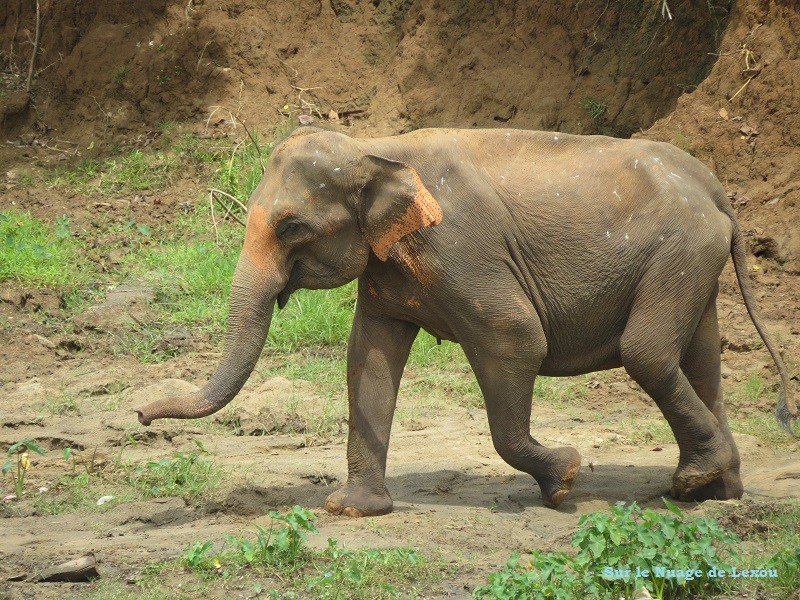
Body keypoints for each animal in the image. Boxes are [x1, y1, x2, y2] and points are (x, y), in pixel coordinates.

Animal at [136, 125, 792, 516]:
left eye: (292, 226)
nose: (140, 415)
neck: (376, 146)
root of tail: (715, 187)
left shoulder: (460, 250)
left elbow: (516, 337)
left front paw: (564, 480)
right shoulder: (389, 266)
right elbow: (368, 358)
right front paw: (352, 509)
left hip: (680, 252)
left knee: (649, 352)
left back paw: (695, 484)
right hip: (692, 260)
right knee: (700, 358)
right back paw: (716, 493)